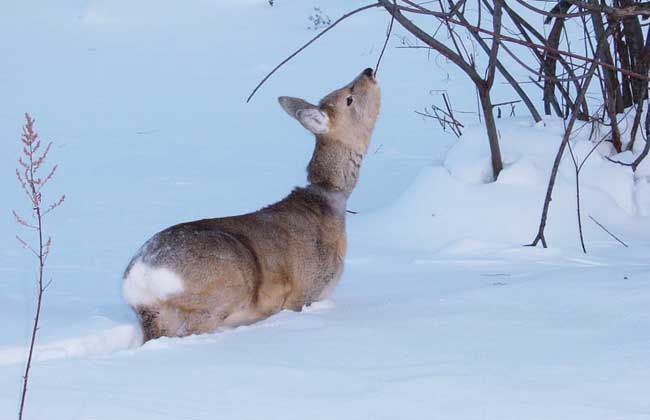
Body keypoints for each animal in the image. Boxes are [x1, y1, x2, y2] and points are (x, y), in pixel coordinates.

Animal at [121, 66, 380, 342]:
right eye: (348, 98)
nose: (368, 71)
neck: (328, 201)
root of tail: (139, 280)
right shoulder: (304, 291)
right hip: (218, 294)